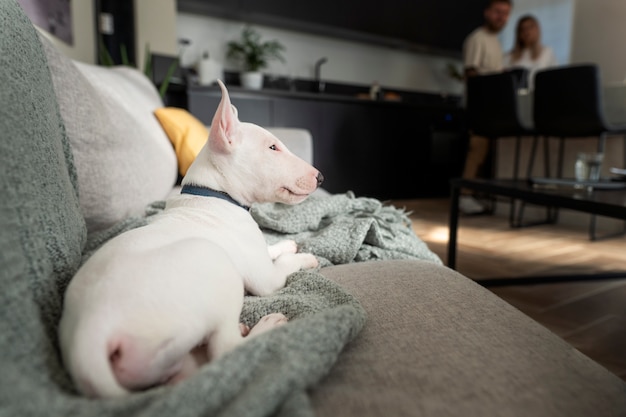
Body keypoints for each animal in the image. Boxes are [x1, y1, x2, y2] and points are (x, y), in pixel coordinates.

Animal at [58, 80, 322, 396]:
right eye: (273, 147)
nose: (320, 177)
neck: (214, 194)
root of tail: (89, 332)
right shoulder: (266, 280)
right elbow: (280, 269)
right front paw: (306, 256)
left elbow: (270, 249)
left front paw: (287, 244)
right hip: (216, 264)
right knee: (225, 349)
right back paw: (267, 325)